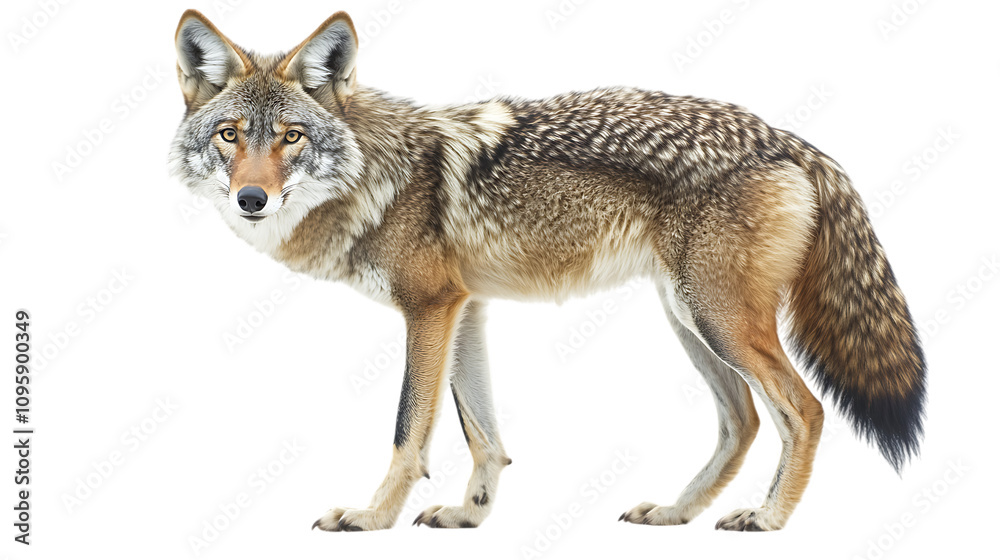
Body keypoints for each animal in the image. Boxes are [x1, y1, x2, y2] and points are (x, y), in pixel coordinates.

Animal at [170, 10, 926, 532]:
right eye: (230, 136)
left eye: (290, 137)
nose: (251, 199)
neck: (377, 176)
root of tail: (789, 139)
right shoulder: (465, 308)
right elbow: (483, 434)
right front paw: (470, 516)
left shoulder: (429, 308)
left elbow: (409, 431)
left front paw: (371, 518)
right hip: (689, 320)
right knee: (741, 420)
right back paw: (676, 513)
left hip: (718, 320)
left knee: (805, 410)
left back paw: (767, 520)